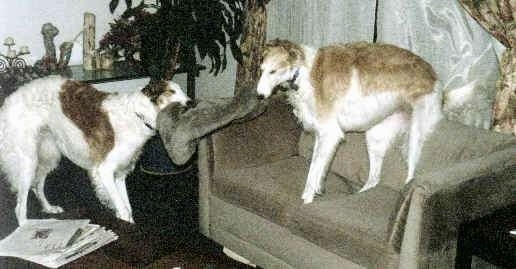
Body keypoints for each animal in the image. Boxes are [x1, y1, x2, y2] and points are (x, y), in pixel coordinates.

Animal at [0, 75, 190, 224]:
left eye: (181, 90)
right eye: (171, 92)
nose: (191, 102)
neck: (138, 115)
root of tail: (8, 101)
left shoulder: (120, 174)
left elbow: (127, 209)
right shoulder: (104, 170)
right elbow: (123, 209)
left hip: (48, 156)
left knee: (37, 186)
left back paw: (49, 208)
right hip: (28, 162)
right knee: (20, 207)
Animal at [256, 39, 442, 203]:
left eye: (273, 71)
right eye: (261, 69)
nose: (259, 96)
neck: (304, 71)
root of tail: (432, 72)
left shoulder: (329, 133)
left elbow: (312, 172)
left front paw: (307, 200)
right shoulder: (322, 135)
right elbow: (316, 171)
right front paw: (316, 191)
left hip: (415, 136)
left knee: (409, 176)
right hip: (376, 137)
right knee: (374, 179)